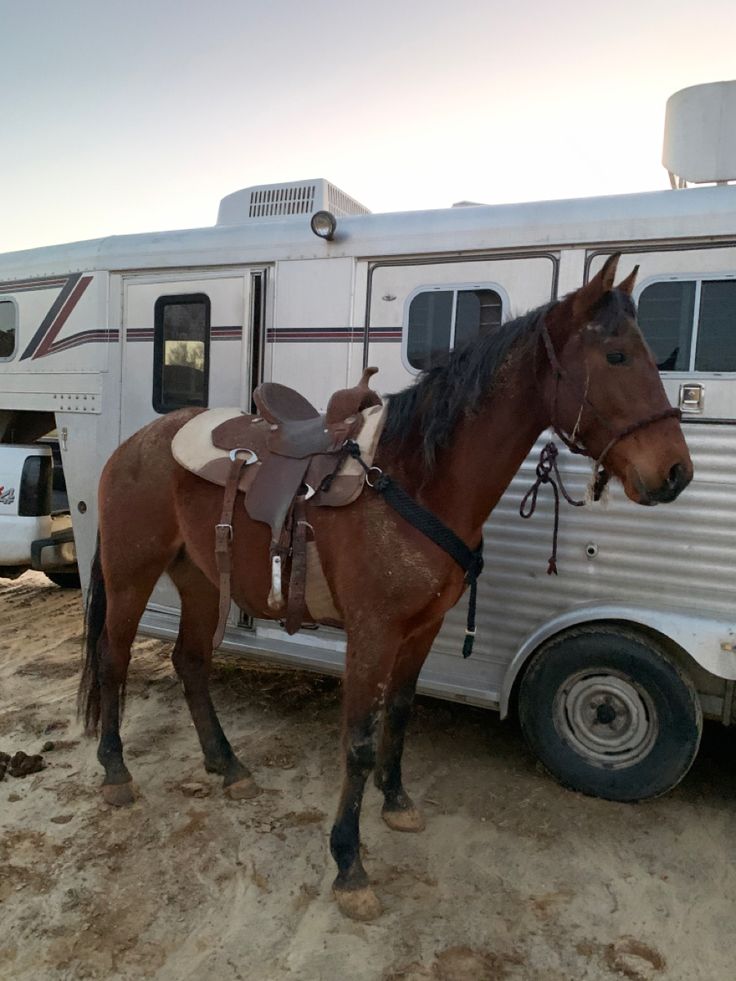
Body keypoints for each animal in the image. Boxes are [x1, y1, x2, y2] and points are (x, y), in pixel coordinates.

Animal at [79, 253, 688, 920]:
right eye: (616, 356)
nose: (676, 472)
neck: (416, 479)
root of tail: (134, 445)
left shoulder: (421, 629)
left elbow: (399, 713)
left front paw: (396, 803)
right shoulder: (371, 634)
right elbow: (360, 740)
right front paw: (349, 865)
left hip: (200, 580)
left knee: (189, 662)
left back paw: (227, 763)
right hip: (131, 574)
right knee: (112, 659)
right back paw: (115, 773)